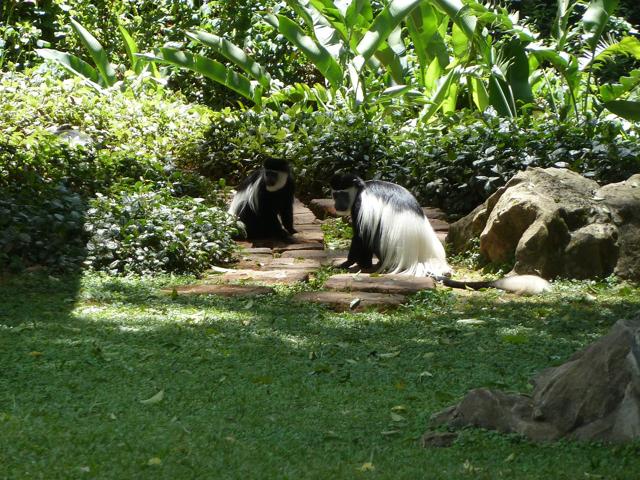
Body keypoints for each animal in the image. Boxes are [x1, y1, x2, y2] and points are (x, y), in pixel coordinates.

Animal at [330, 172, 552, 292]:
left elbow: (360, 236)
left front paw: (346, 264)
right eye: (334, 194)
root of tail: (418, 260)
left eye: (341, 194)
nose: (336, 203)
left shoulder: (361, 205)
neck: (362, 188)